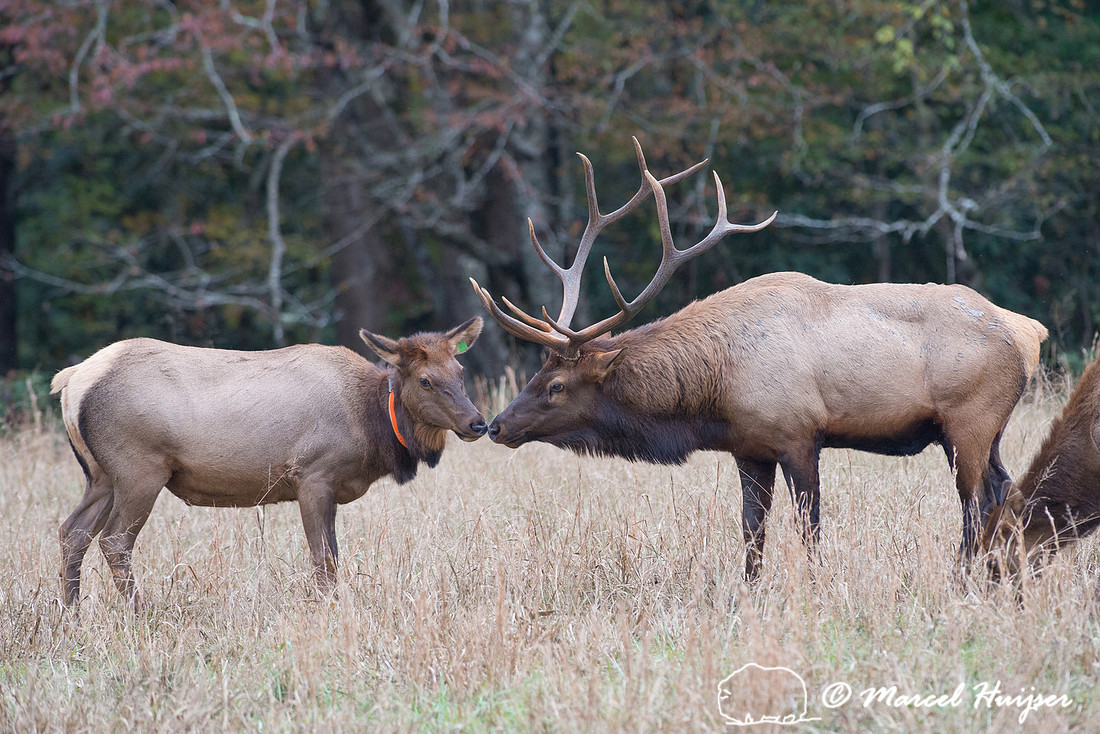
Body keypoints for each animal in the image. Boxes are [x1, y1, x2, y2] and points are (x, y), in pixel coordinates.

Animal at [51, 319, 486, 610]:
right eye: (425, 380)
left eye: (460, 371)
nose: (478, 423)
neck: (371, 425)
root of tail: (71, 382)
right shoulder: (313, 474)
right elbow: (323, 557)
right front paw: (328, 608)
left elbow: (333, 555)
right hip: (139, 468)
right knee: (114, 540)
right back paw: (139, 613)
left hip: (101, 476)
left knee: (73, 531)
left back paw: (72, 613)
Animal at [471, 137, 1048, 581]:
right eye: (538, 373)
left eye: (556, 386)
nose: (496, 425)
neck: (714, 394)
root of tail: (1029, 332)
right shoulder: (749, 448)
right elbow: (752, 534)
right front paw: (747, 595)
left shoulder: (798, 434)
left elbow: (810, 530)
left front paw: (816, 591)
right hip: (984, 430)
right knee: (1004, 490)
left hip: (969, 421)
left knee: (977, 504)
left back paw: (964, 580)